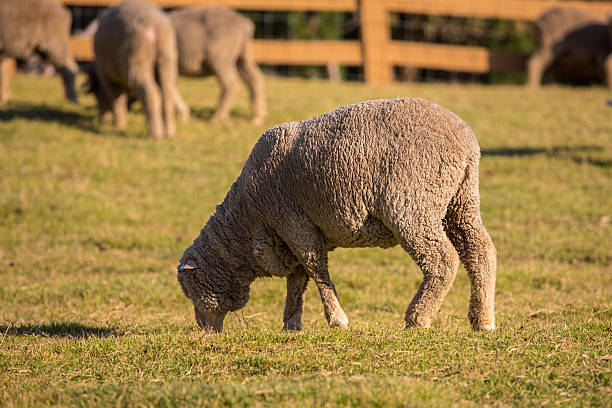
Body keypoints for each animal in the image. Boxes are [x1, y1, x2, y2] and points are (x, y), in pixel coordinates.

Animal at [86, 0, 184, 139]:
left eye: (96, 92)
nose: (101, 117)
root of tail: (157, 25)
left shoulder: (107, 78)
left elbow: (117, 99)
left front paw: (119, 124)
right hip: (167, 58)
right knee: (167, 93)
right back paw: (169, 132)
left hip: (138, 56)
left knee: (150, 92)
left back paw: (155, 133)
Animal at [177, 98, 498, 332]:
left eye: (191, 289)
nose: (204, 331)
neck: (245, 221)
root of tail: (466, 142)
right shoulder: (293, 233)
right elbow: (297, 279)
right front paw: (291, 323)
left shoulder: (292, 221)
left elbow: (315, 269)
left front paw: (336, 319)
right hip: (461, 200)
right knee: (481, 252)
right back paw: (482, 321)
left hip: (413, 205)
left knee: (442, 259)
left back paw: (418, 318)